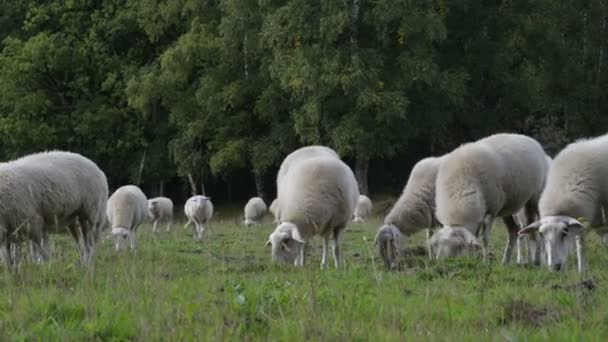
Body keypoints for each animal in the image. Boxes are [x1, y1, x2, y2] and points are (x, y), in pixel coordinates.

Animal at [432, 133, 552, 262]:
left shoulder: (491, 210)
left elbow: (484, 238)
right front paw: (474, 260)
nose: (446, 262)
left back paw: (540, 260)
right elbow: (474, 240)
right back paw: (506, 261)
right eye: (441, 244)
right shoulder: (479, 215)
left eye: (458, 246)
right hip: (509, 207)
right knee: (514, 231)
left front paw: (485, 262)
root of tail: (530, 140)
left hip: (535, 199)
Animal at [516, 134, 608, 272]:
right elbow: (581, 242)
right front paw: (582, 270)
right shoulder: (586, 212)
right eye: (541, 234)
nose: (555, 267)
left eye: (564, 232)